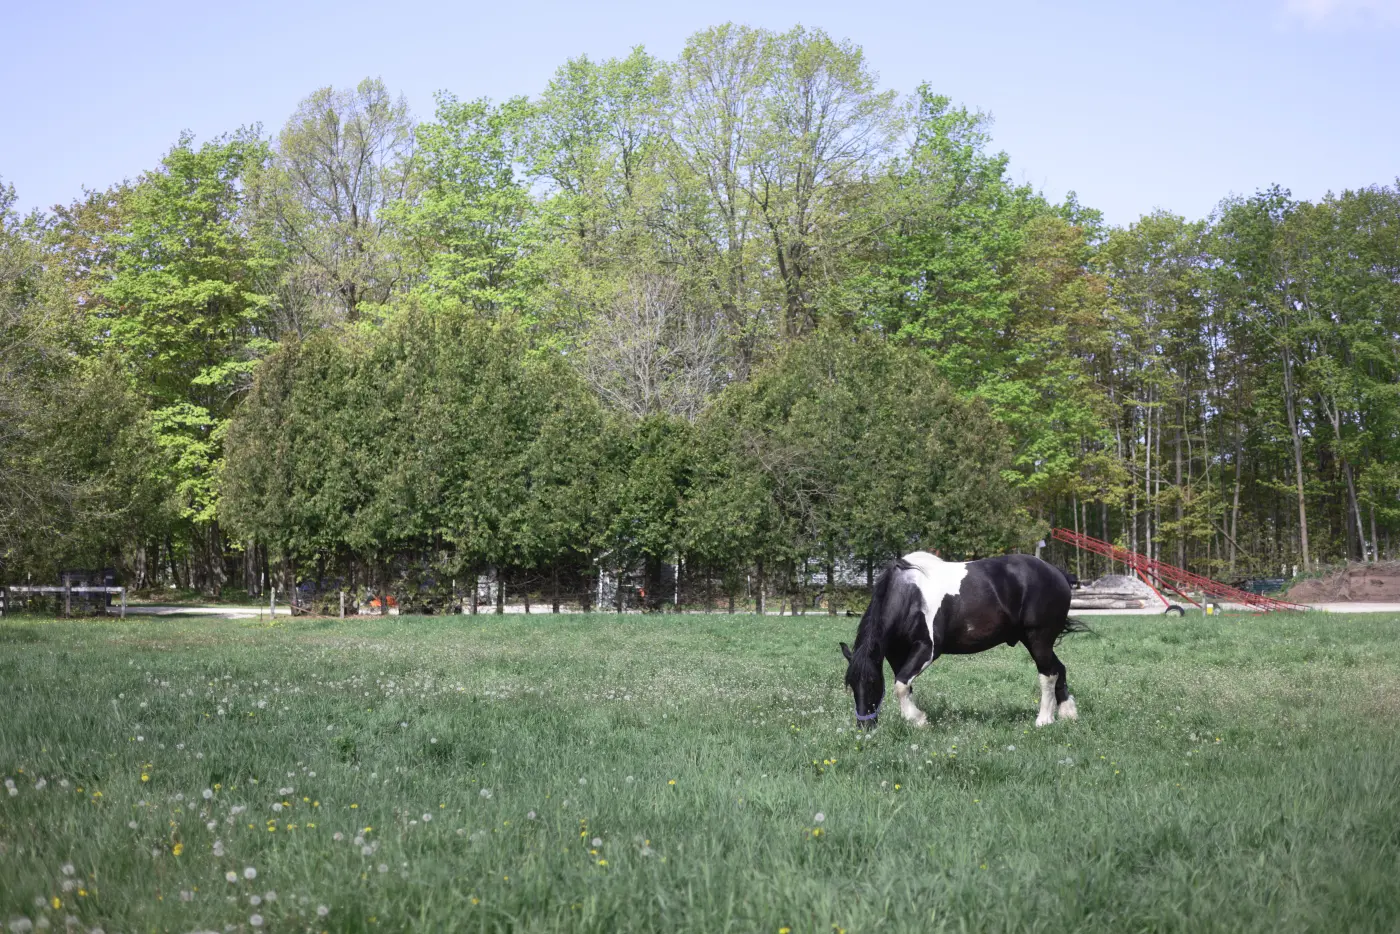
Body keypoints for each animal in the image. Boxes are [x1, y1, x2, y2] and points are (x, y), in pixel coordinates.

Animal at [840, 551, 1088, 728]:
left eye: (872, 682)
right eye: (851, 684)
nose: (865, 727)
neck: (909, 596)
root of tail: (1057, 573)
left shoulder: (927, 650)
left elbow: (901, 685)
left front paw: (918, 720)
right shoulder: (896, 653)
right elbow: (904, 684)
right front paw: (914, 719)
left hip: (1039, 638)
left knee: (1048, 674)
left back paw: (1044, 720)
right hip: (1033, 640)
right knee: (1059, 669)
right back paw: (1068, 713)